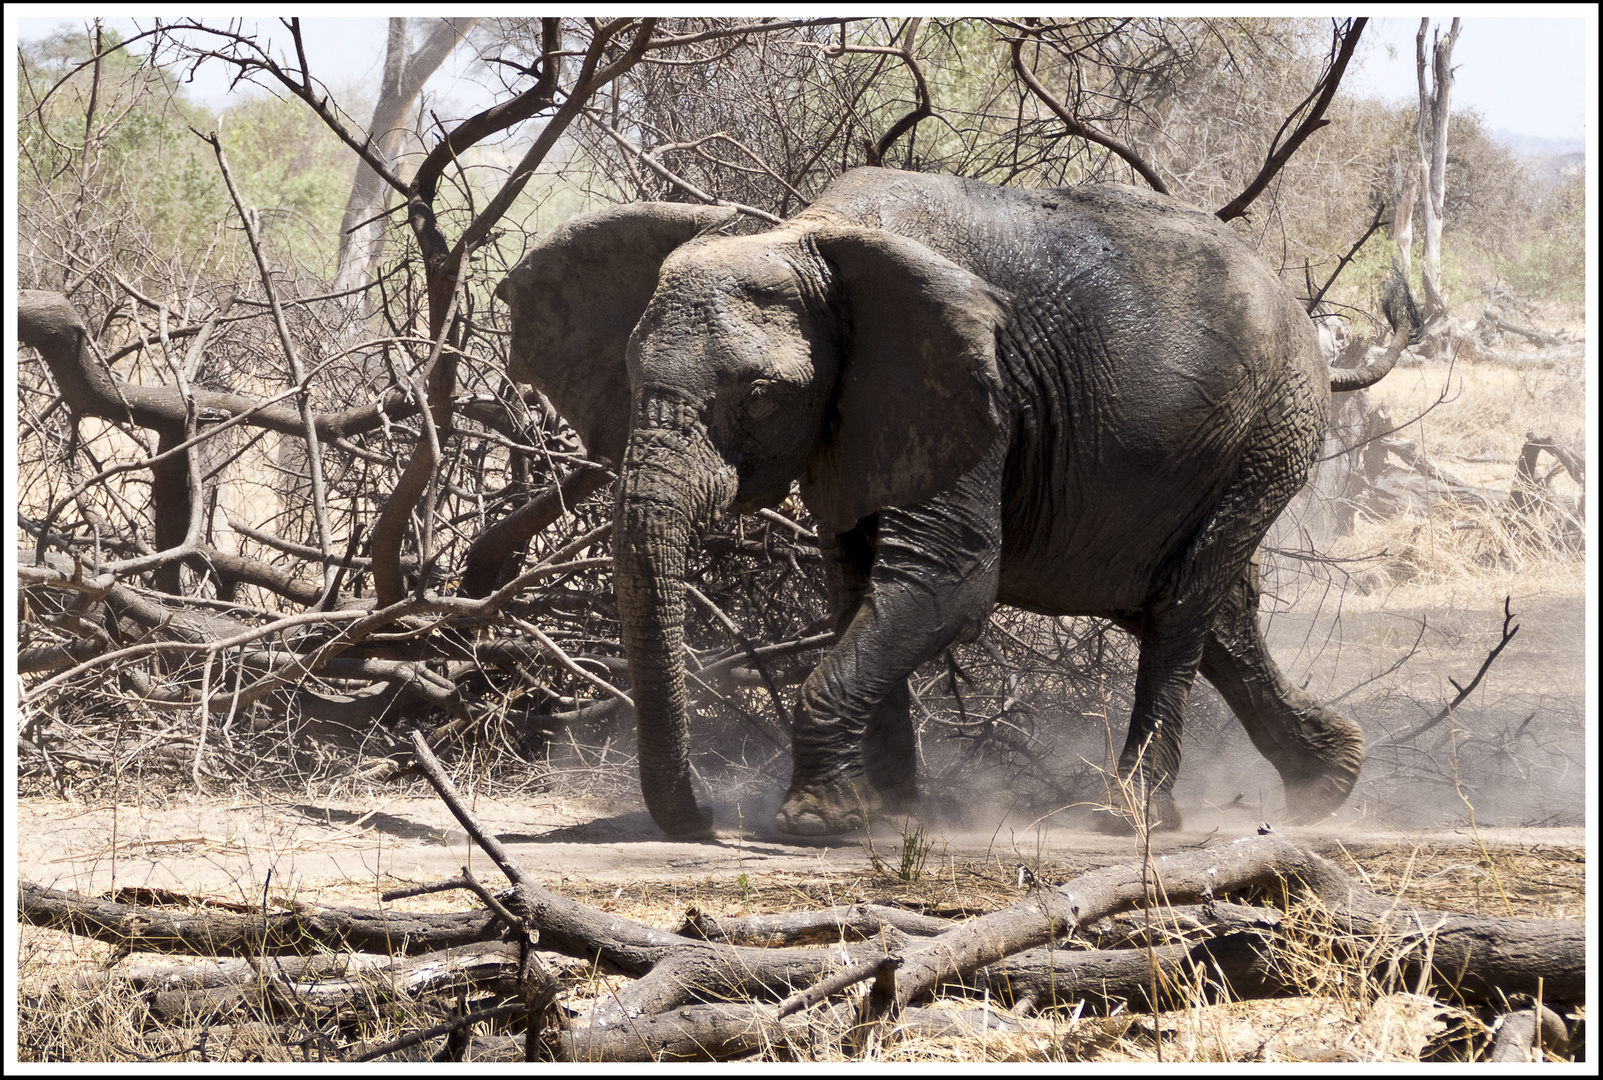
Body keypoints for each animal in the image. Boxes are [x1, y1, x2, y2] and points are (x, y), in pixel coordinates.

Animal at [493, 168, 1410, 839]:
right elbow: (853, 586)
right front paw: (885, 814)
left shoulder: (977, 392)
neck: (804, 232)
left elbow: (945, 584)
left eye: (757, 398)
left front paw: (815, 822)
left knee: (1181, 607)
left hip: (1269, 433)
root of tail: (1307, 323)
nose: (706, 817)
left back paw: (1130, 817)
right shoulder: (863, 416)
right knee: (1196, 607)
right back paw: (1328, 783)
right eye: (629, 377)